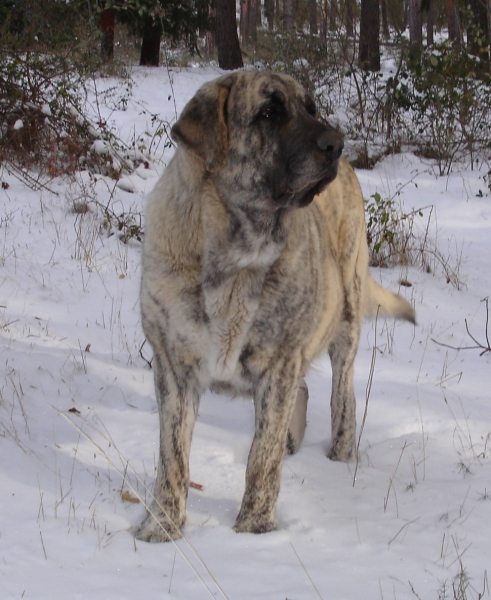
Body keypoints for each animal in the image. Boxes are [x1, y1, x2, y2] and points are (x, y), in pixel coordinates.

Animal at [136, 71, 418, 544]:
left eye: (311, 108)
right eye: (269, 113)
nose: (335, 143)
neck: (237, 250)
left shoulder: (278, 362)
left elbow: (260, 458)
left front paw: (253, 530)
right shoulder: (174, 366)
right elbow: (172, 457)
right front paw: (161, 526)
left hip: (344, 319)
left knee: (342, 395)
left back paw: (340, 454)